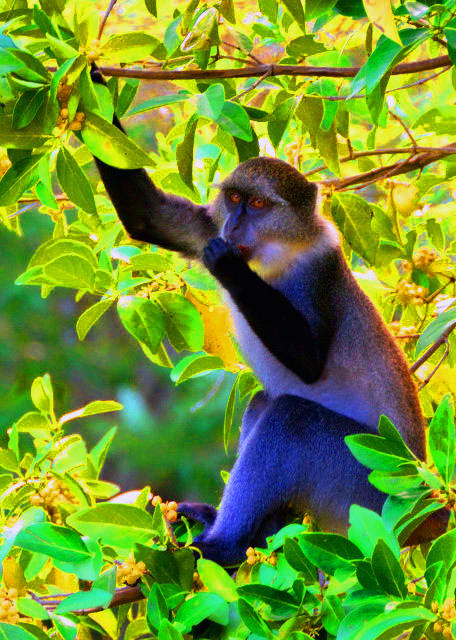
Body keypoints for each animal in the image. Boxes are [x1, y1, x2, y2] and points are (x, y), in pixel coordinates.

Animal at [90, 68, 427, 566]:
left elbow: (309, 361)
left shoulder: (320, 266)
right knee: (265, 403)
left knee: (290, 417)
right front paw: (90, 82)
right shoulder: (208, 225)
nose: (233, 228)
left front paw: (228, 267)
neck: (274, 253)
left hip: (365, 486)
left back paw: (222, 545)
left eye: (260, 205)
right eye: (233, 198)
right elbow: (149, 218)